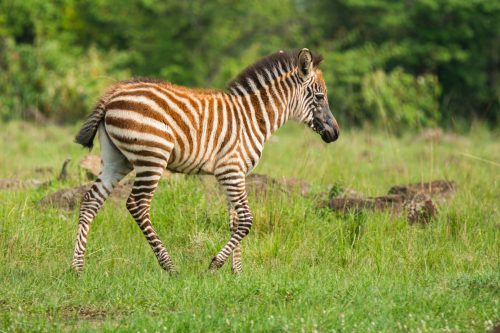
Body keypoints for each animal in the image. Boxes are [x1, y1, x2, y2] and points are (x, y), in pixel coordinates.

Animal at [71, 48, 340, 272]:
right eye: (319, 97)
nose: (335, 133)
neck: (253, 116)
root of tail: (113, 94)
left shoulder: (234, 173)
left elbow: (235, 220)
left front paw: (237, 272)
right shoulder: (231, 169)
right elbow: (246, 221)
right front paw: (216, 264)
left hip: (116, 159)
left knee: (90, 201)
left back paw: (77, 267)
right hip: (153, 157)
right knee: (137, 205)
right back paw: (169, 266)